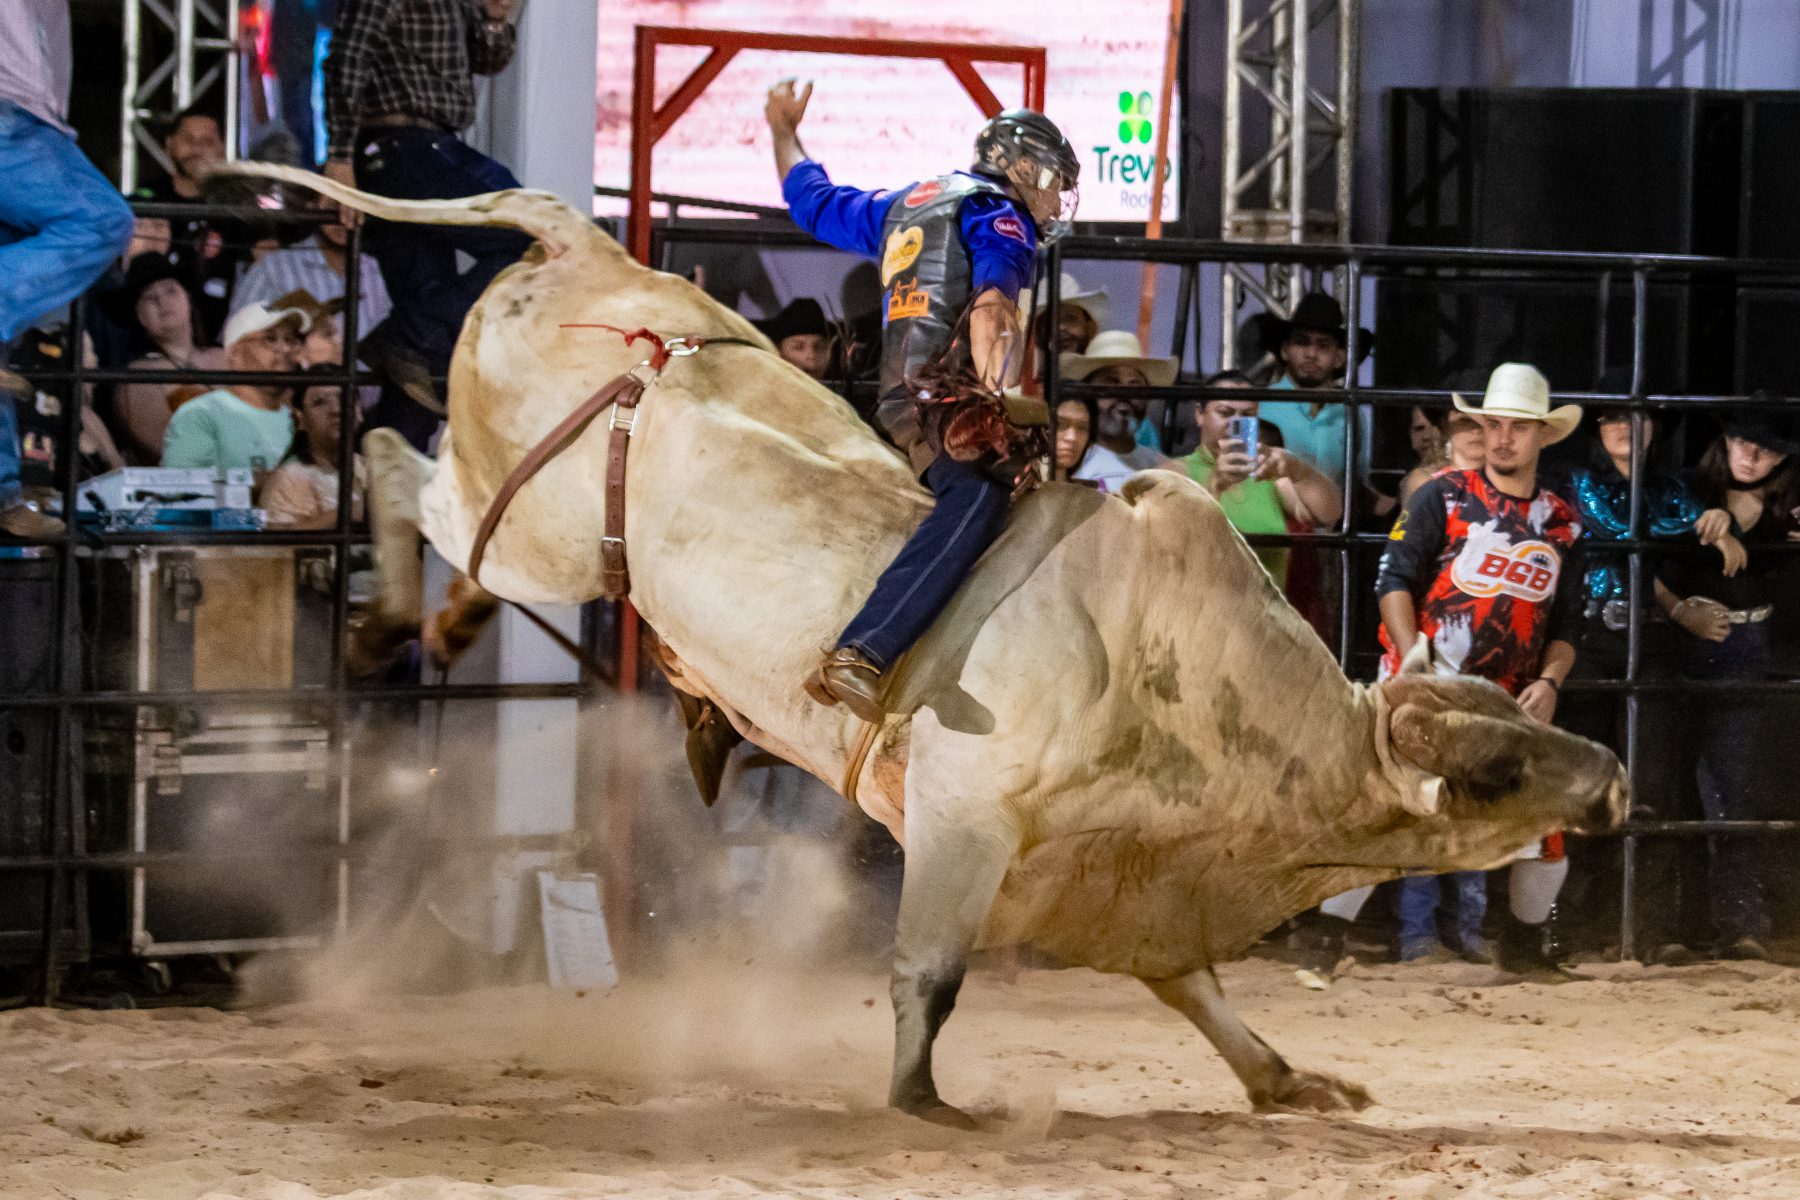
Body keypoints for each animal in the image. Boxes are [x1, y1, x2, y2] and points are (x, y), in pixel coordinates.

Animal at [225, 164, 1628, 1128]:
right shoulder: (965, 821)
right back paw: (402, 609)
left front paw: (1290, 1081)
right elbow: (930, 973)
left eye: (1526, 719)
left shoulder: (1114, 876)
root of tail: (588, 246)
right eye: (1500, 768)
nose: (1613, 777)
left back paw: (447, 620)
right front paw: (921, 1100)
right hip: (538, 528)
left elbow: (1194, 987)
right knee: (400, 463)